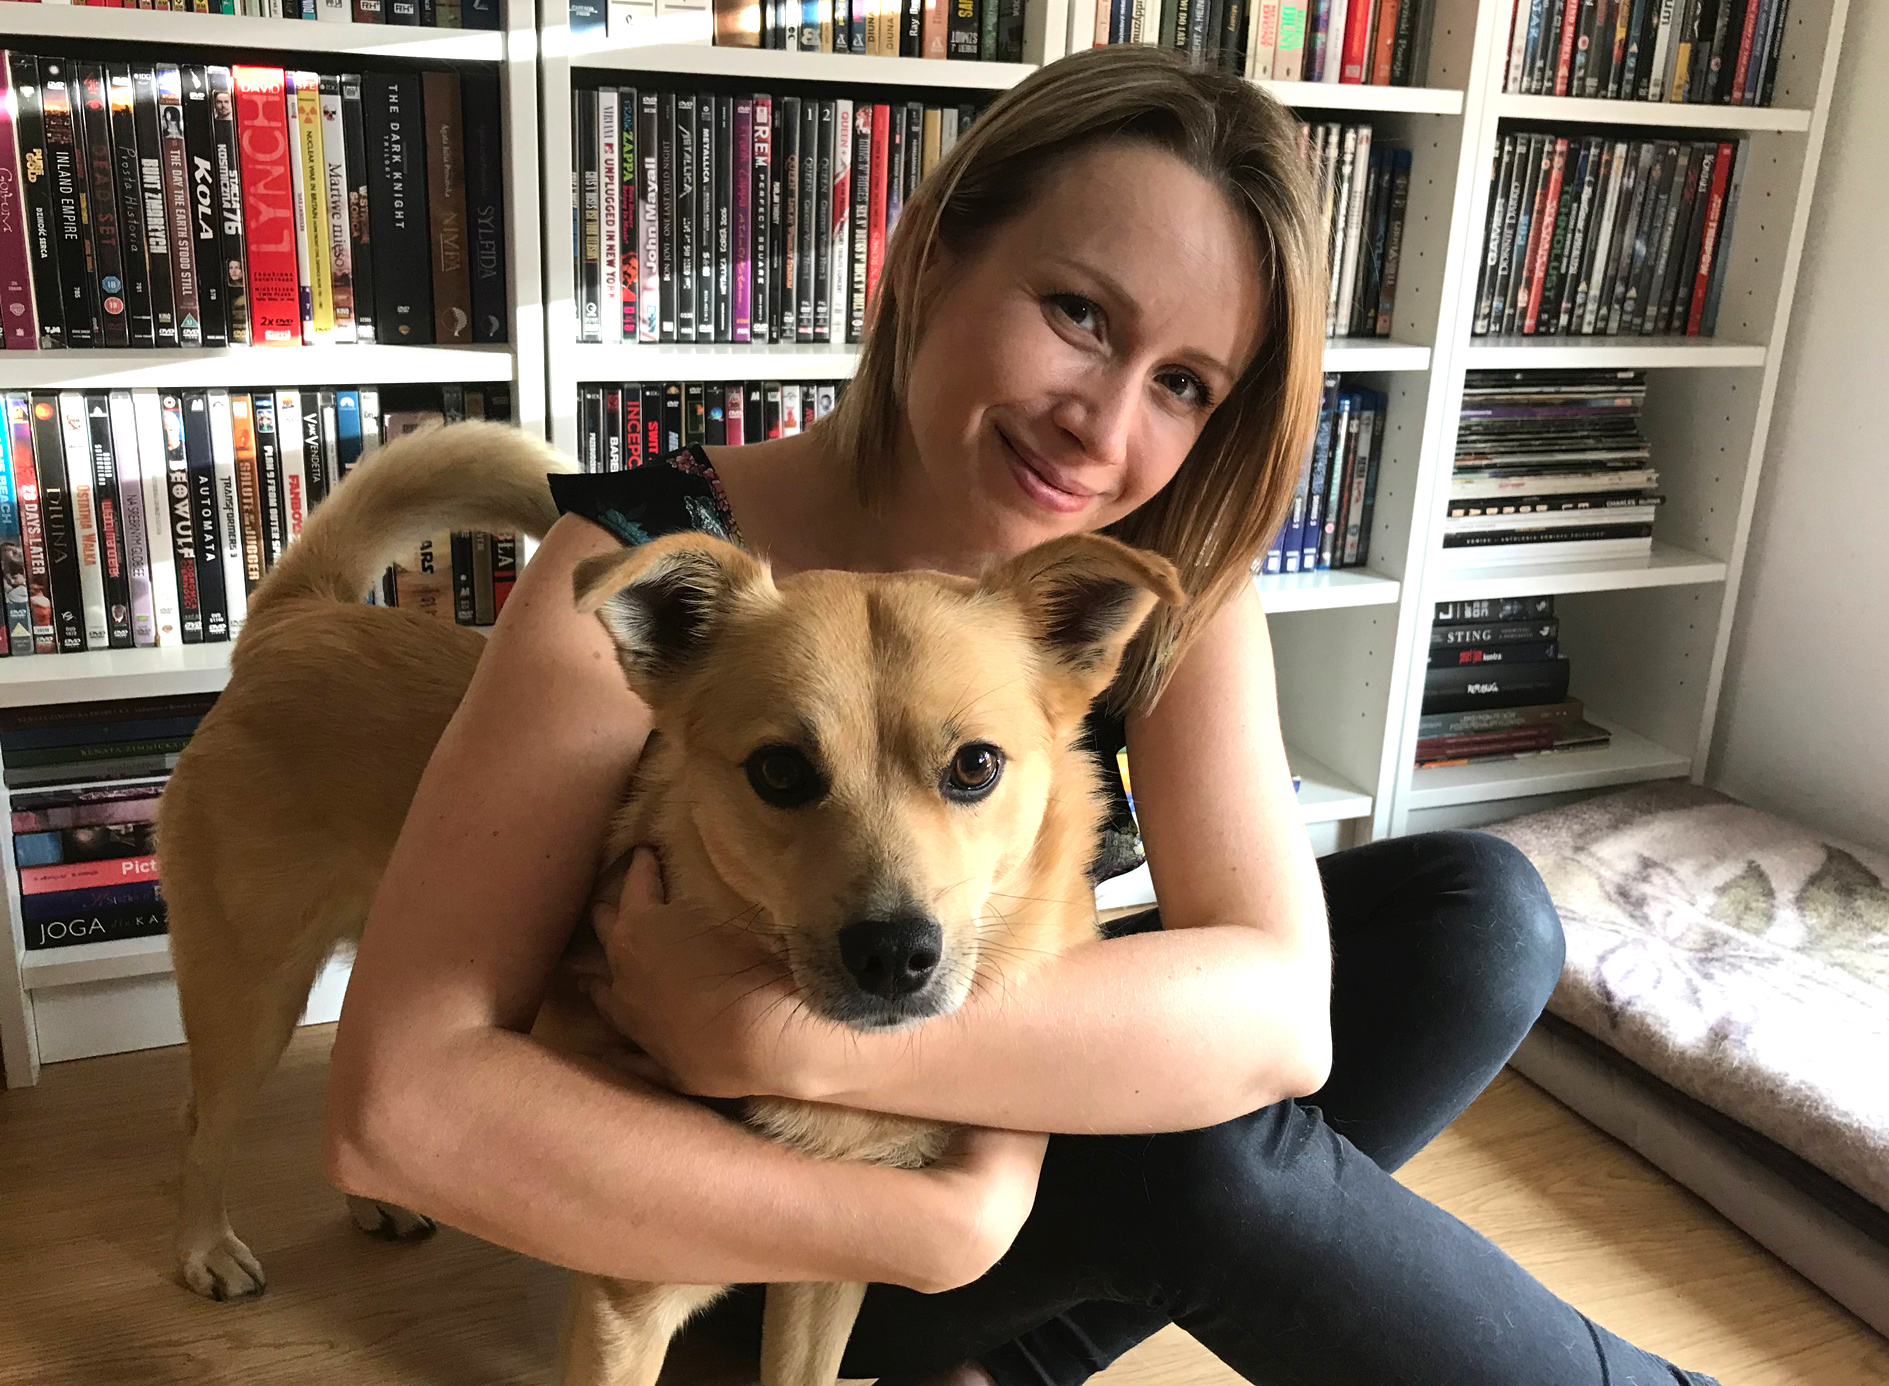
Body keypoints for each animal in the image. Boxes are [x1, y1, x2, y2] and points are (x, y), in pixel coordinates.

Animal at [158, 421, 1182, 1386]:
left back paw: (373, 1198)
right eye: (779, 772)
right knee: (201, 1129)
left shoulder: (831, 1272)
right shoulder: (626, 1305)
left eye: (975, 765)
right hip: (250, 991)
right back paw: (208, 1249)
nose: (894, 956)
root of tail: (300, 617)